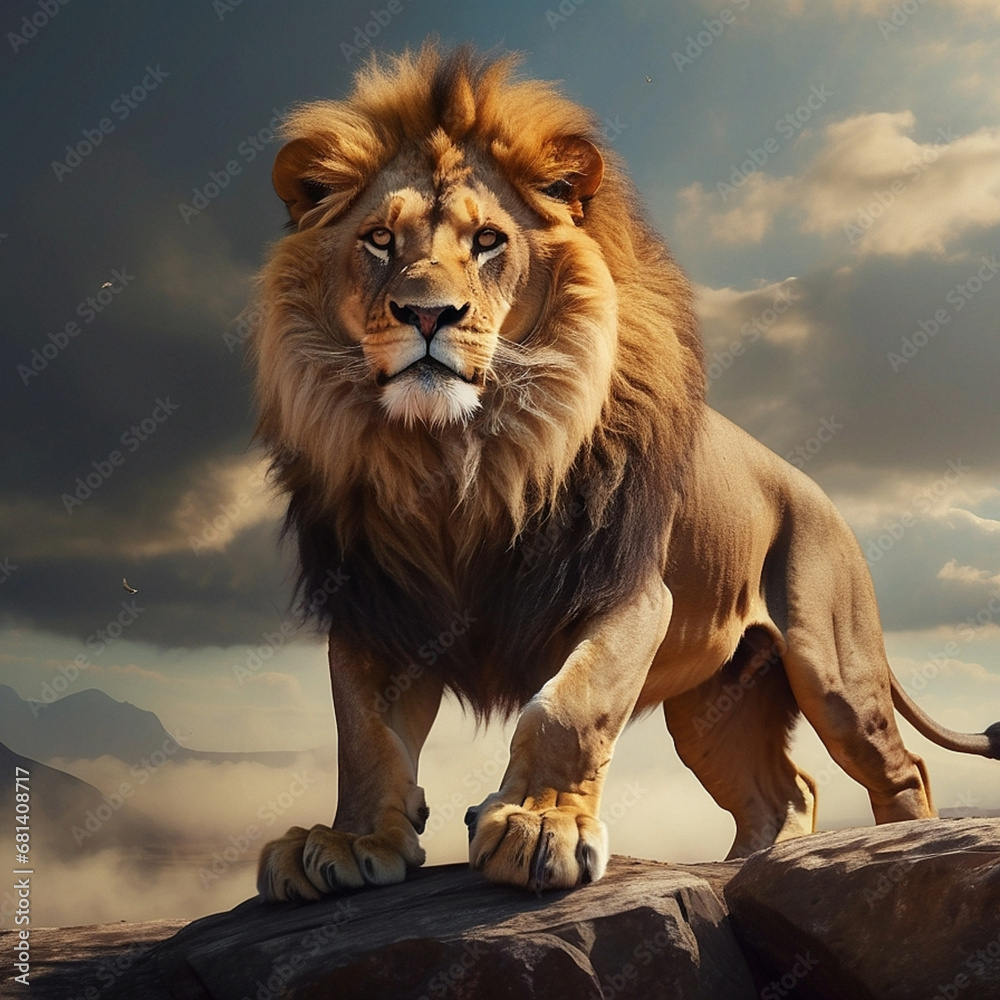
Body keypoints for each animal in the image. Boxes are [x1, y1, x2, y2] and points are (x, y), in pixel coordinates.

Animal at [251, 45, 999, 902]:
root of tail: (816, 490)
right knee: (786, 791)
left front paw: (538, 827)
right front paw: (343, 841)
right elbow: (363, 734)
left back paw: (894, 853)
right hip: (713, 708)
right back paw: (751, 867)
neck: (459, 459)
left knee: (902, 768)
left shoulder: (627, 590)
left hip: (833, 666)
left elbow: (568, 708)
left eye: (488, 240)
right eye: (379, 238)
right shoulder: (375, 605)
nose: (428, 314)